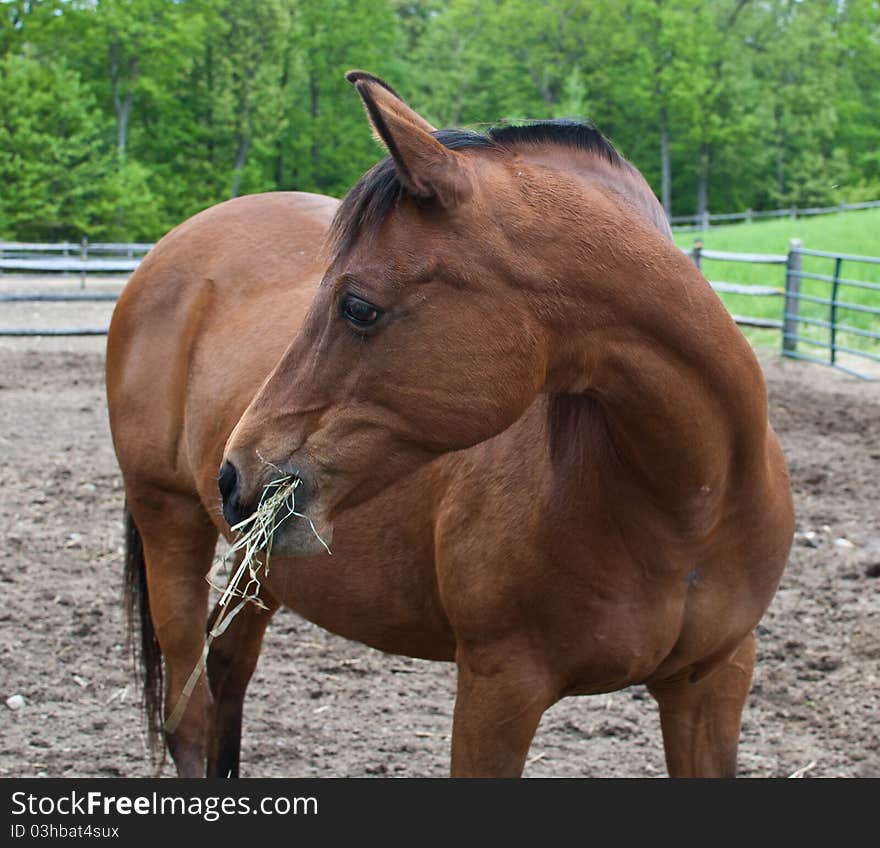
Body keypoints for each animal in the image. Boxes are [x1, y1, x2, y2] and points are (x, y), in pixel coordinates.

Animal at [106, 71, 796, 776]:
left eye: (357, 306)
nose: (235, 474)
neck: (689, 506)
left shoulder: (713, 682)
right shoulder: (500, 687)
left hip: (260, 570)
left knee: (226, 678)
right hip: (169, 523)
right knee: (190, 717)